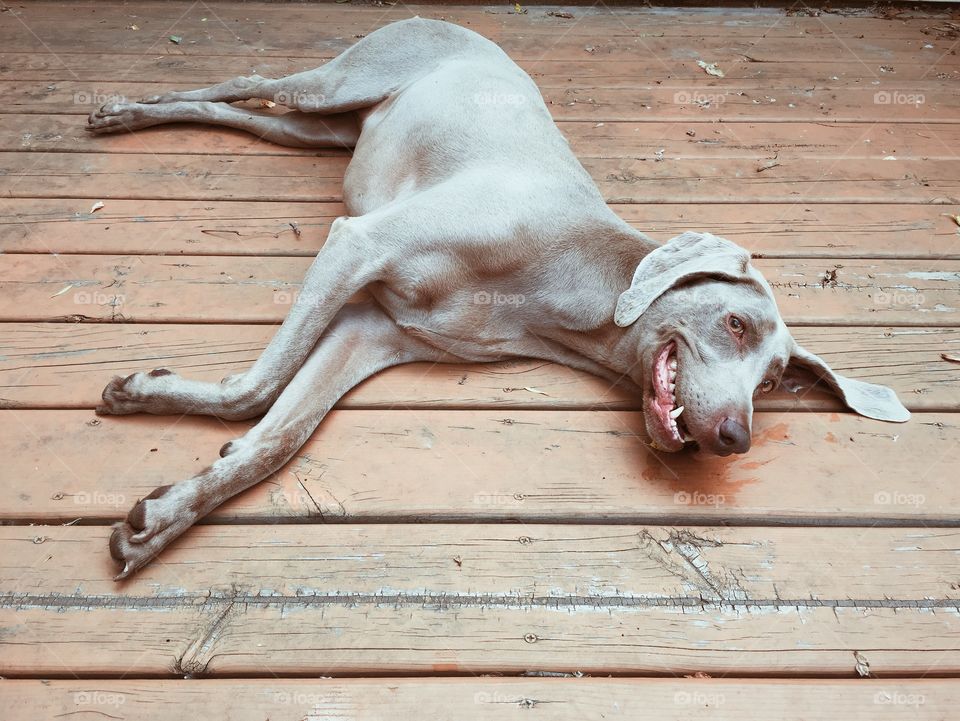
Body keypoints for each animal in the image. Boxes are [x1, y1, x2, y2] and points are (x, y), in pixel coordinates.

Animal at [84, 18, 908, 580]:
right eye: (735, 323)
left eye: (772, 382)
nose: (736, 436)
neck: (561, 279)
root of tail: (463, 24)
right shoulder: (357, 243)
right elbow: (253, 390)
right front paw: (147, 397)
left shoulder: (373, 329)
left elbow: (275, 437)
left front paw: (163, 516)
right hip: (338, 83)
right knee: (241, 81)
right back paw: (123, 110)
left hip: (326, 132)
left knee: (248, 114)